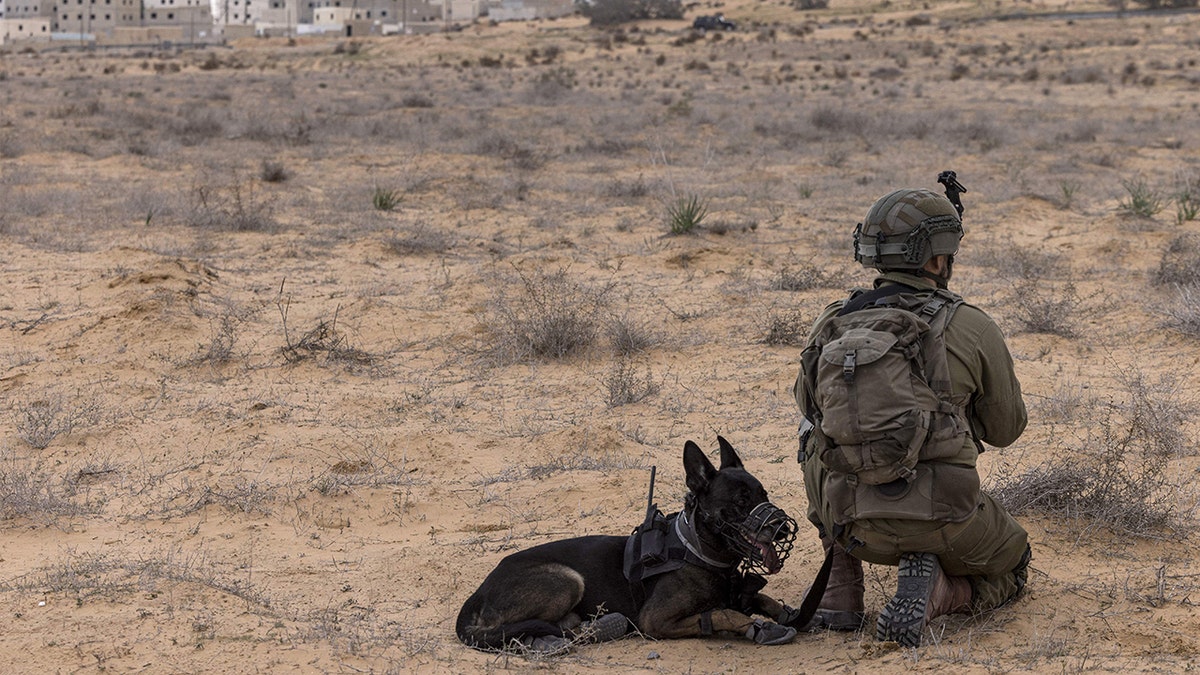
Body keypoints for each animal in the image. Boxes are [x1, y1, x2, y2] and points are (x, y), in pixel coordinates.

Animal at [453, 432, 801, 648]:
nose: (783, 528)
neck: (697, 549)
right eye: (741, 502)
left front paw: (788, 614)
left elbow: (761, 599)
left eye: (763, 494)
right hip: (568, 580)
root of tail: (478, 593)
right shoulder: (655, 620)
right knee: (512, 630)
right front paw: (755, 626)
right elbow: (723, 613)